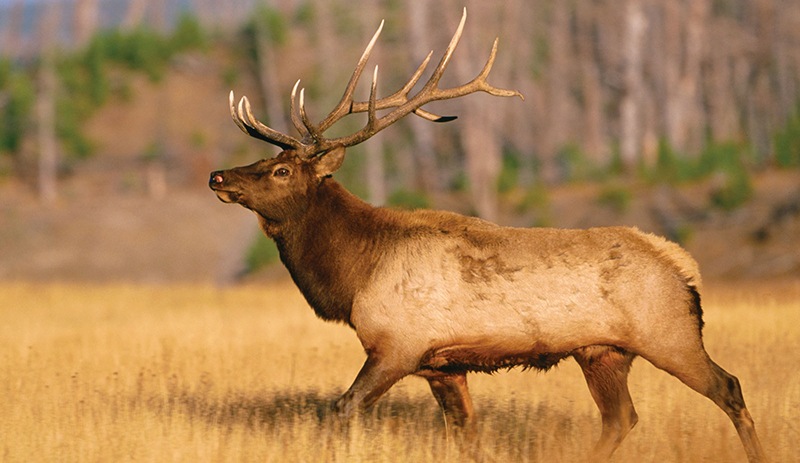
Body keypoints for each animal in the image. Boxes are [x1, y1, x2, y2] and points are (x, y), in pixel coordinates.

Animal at [209, 8, 764, 463]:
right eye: (263, 160)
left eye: (281, 171)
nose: (218, 176)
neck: (353, 274)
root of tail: (684, 266)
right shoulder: (442, 365)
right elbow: (466, 437)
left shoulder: (398, 345)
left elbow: (342, 409)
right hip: (602, 352)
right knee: (620, 419)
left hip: (669, 333)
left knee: (729, 386)